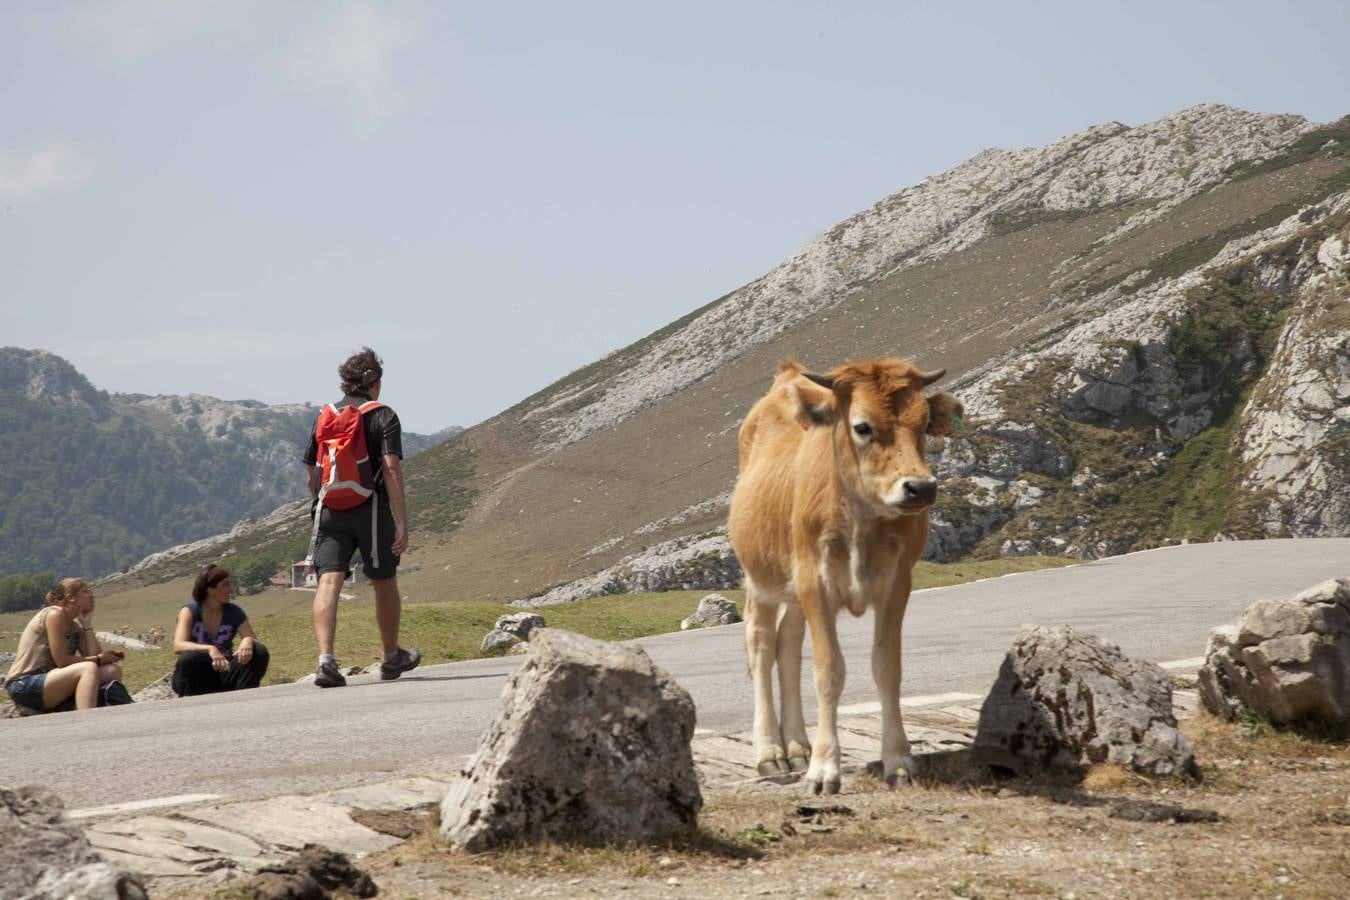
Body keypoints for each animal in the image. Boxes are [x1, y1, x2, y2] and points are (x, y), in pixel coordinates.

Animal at [729, 358, 961, 793]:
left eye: (924, 423)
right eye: (862, 426)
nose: (920, 488)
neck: (861, 520)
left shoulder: (896, 584)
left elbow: (887, 667)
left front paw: (898, 761)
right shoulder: (815, 584)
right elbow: (828, 671)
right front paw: (824, 770)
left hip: (794, 590)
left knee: (788, 644)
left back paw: (797, 747)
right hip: (762, 578)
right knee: (761, 644)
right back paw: (771, 753)